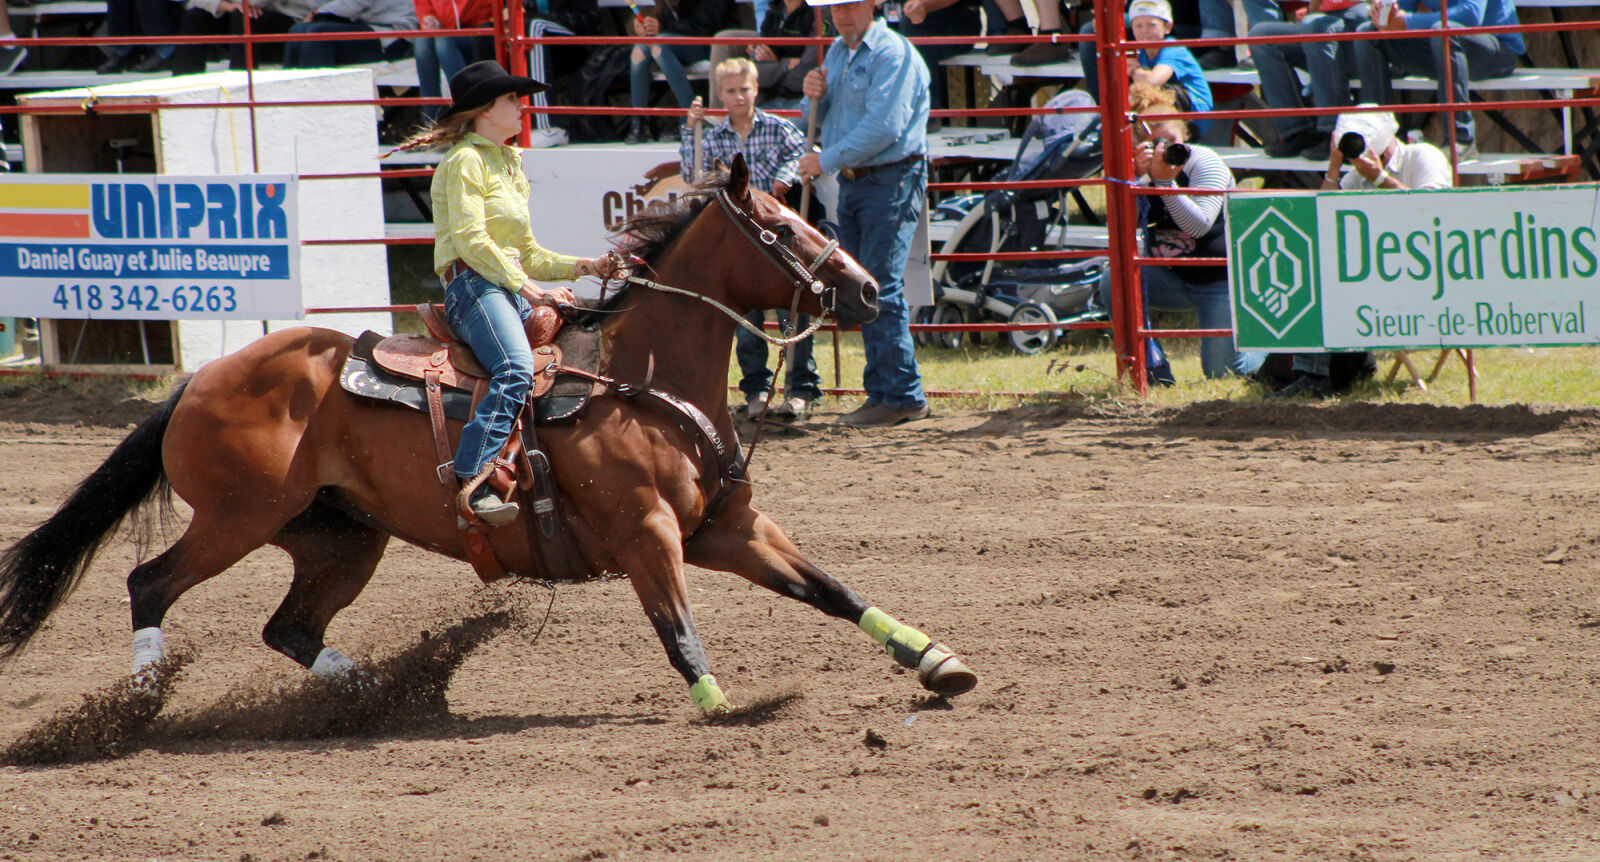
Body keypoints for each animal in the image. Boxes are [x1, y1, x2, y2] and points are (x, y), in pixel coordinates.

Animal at [0, 155, 978, 714]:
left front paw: (939, 663)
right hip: (237, 519)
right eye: (777, 227)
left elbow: (833, 590)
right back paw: (139, 701)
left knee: (289, 629)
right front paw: (718, 703)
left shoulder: (725, 528)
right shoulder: (649, 537)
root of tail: (201, 381)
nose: (867, 291)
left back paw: (383, 695)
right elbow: (677, 626)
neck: (644, 378)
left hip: (338, 538)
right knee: (150, 583)